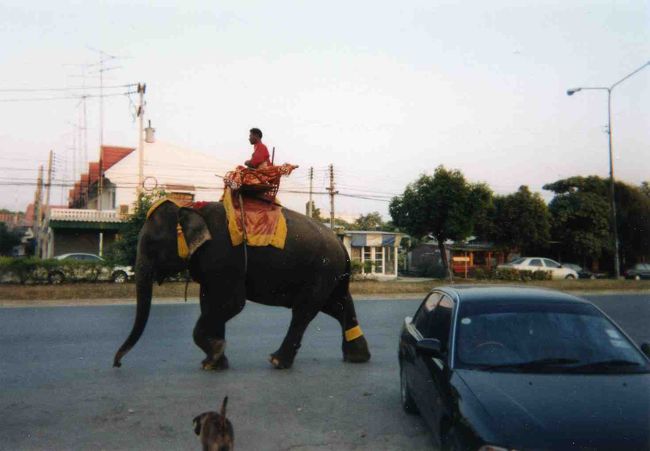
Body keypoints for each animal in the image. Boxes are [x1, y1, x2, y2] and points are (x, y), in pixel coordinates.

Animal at [112, 201, 370, 370]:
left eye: (151, 245)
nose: (117, 364)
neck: (190, 208)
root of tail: (340, 243)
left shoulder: (223, 256)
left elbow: (231, 304)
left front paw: (215, 352)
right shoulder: (211, 266)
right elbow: (209, 303)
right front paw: (215, 362)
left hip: (322, 271)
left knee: (304, 311)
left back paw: (277, 361)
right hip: (330, 274)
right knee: (337, 305)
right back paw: (357, 357)